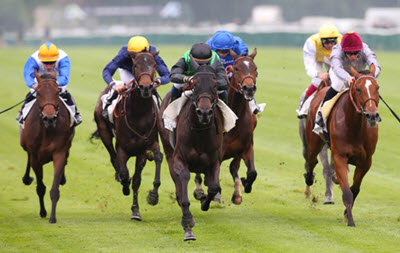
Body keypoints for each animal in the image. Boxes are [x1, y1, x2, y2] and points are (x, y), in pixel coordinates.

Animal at [20, 70, 74, 223]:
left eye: (57, 92)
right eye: (38, 93)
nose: (49, 118)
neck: (47, 130)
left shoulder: (59, 153)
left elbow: (54, 189)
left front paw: (52, 217)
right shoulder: (35, 158)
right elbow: (40, 187)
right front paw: (43, 212)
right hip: (24, 143)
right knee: (27, 155)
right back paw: (26, 178)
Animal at [92, 51, 162, 219]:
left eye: (154, 64)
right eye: (135, 65)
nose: (146, 87)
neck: (140, 115)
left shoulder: (145, 148)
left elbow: (138, 179)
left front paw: (142, 205)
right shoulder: (122, 148)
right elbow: (125, 173)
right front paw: (125, 186)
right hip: (104, 132)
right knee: (113, 157)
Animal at [158, 57, 223, 241]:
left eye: (215, 85)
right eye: (194, 85)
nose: (204, 113)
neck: (200, 132)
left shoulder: (214, 160)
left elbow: (213, 186)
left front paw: (205, 202)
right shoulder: (180, 158)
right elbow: (183, 179)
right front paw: (187, 222)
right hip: (168, 150)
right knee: (177, 181)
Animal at [194, 48, 260, 205]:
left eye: (255, 69)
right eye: (236, 68)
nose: (249, 88)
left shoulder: (246, 146)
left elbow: (251, 172)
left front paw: (243, 187)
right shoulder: (218, 152)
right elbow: (212, 178)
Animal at [304, 64, 380, 225]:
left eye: (377, 88)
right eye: (358, 89)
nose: (372, 116)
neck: (355, 127)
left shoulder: (366, 161)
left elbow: (355, 189)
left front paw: (346, 214)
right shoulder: (339, 156)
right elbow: (347, 191)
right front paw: (350, 220)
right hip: (314, 141)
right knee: (312, 160)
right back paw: (309, 177)